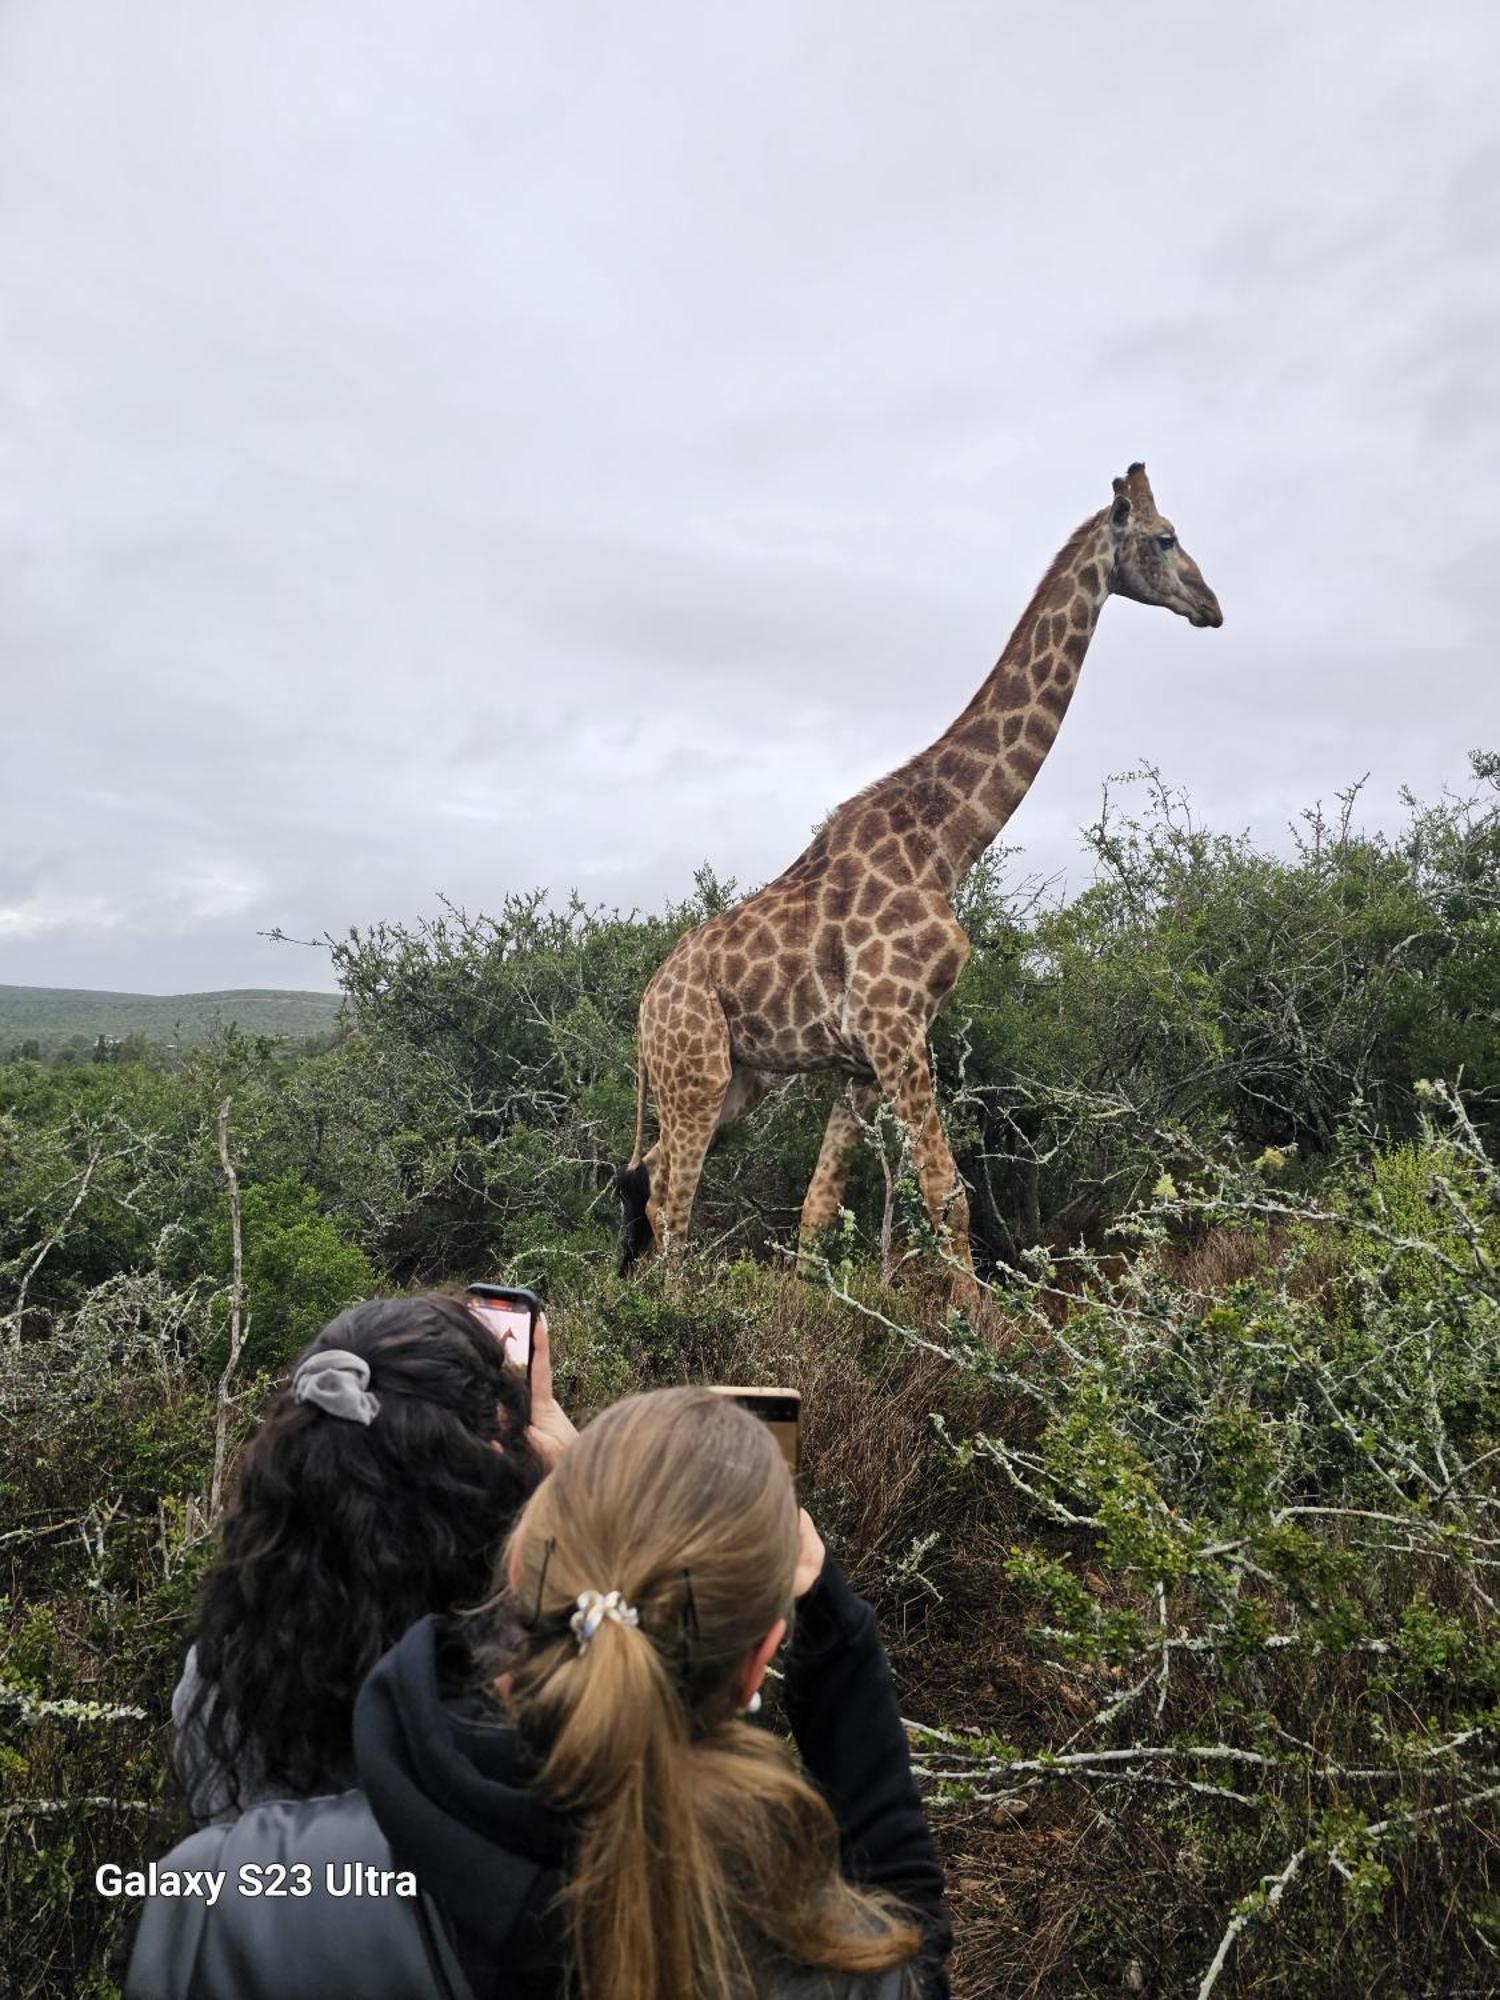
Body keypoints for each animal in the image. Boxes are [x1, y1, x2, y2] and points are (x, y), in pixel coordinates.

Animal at [620, 466, 1224, 1272]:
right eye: (1165, 537)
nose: (1212, 605)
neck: (945, 844)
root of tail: (644, 1012)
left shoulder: (867, 1057)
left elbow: (817, 1212)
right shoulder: (895, 1027)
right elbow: (948, 1197)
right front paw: (981, 1315)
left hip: (739, 1081)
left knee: (649, 1181)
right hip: (696, 1073)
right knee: (672, 1204)